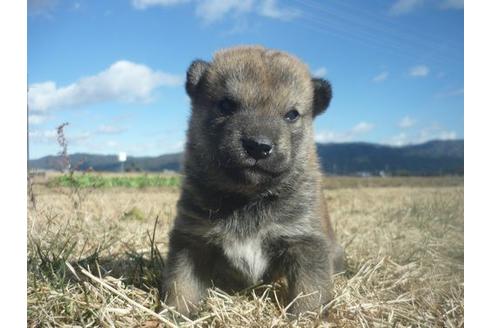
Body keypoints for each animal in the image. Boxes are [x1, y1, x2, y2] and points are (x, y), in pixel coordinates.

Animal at [163, 45, 344, 316]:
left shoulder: (306, 241)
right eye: (226, 105)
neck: (247, 198)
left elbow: (309, 288)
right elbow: (182, 283)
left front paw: (307, 316)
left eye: (292, 115)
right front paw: (177, 313)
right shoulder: (191, 239)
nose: (258, 146)